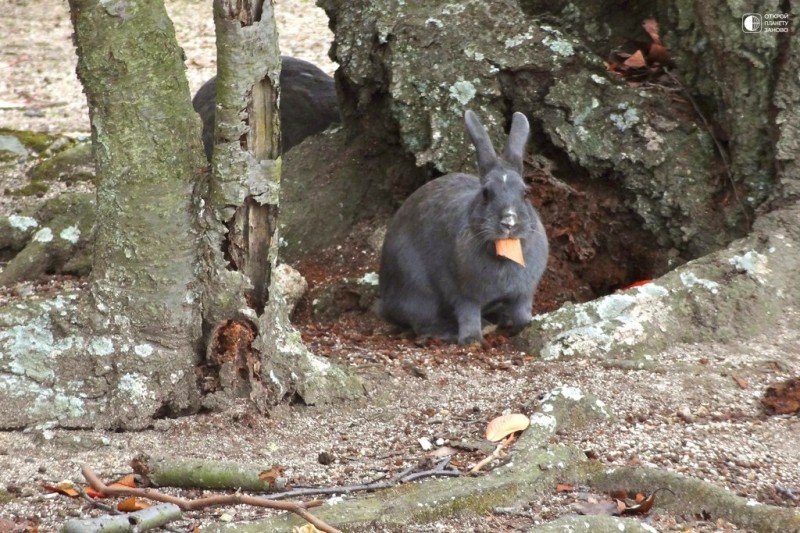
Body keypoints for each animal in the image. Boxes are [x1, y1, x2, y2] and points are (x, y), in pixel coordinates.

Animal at [378, 109, 548, 342]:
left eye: (525, 193)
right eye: (486, 194)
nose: (509, 222)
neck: (503, 251)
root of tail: (385, 298)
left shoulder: (522, 294)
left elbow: (522, 311)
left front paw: (525, 326)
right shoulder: (464, 294)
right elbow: (468, 314)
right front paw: (471, 339)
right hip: (417, 290)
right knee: (422, 323)